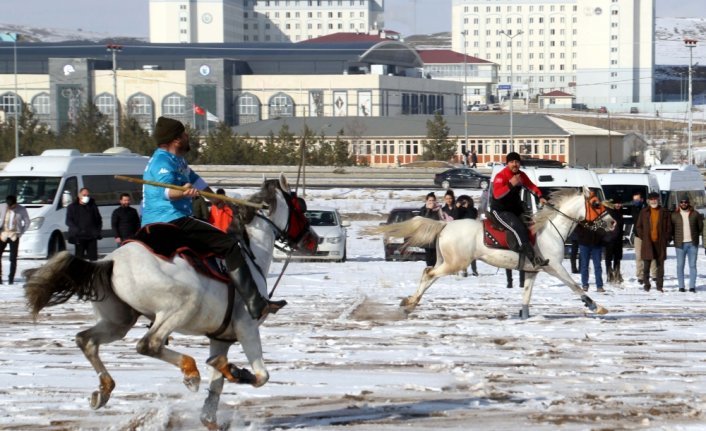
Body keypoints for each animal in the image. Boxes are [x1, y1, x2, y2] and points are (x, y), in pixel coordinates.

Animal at [24, 174, 316, 430]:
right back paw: (190, 371)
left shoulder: (221, 337)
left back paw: (104, 390)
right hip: (180, 307)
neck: (252, 253)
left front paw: (217, 395)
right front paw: (236, 371)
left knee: (86, 340)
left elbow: (217, 384)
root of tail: (111, 261)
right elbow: (261, 376)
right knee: (149, 343)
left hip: (119, 320)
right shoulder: (247, 327)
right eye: (300, 207)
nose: (315, 239)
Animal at [376, 187, 612, 318]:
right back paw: (411, 302)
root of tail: (445, 225)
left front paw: (524, 315)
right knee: (428, 274)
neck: (551, 229)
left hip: (446, 261)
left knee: (428, 273)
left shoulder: (532, 271)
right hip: (455, 263)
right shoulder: (555, 266)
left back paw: (410, 302)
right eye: (595, 203)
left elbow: (526, 295)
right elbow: (575, 285)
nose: (613, 222)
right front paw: (596, 307)